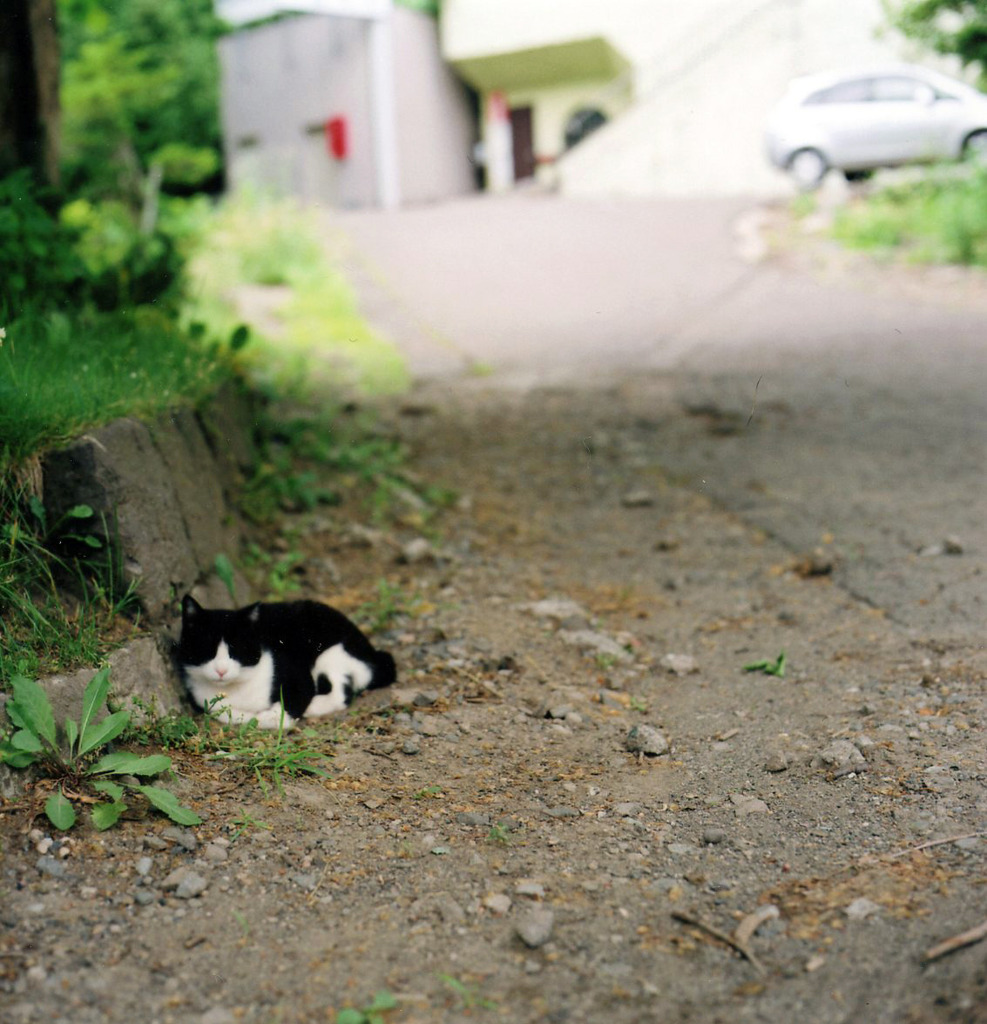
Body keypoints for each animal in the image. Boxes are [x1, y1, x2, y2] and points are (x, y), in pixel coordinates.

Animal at [179, 593, 395, 729]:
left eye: (236, 650)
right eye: (206, 649)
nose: (221, 670)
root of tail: (373, 652)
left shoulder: (298, 676)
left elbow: (284, 709)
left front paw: (266, 717)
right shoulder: (203, 697)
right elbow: (218, 709)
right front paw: (245, 716)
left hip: (332, 654)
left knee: (342, 692)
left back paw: (315, 706)